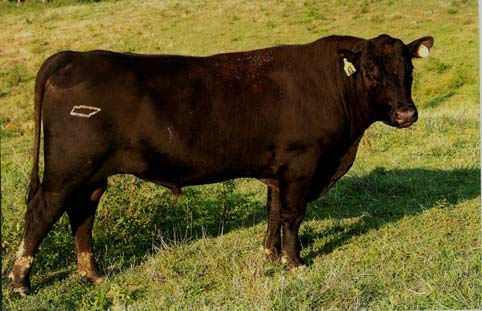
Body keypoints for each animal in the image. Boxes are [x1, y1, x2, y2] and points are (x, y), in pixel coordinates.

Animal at [10, 34, 434, 294]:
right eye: (372, 72)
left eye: (409, 70)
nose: (406, 114)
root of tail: (75, 56)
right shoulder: (302, 164)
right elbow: (293, 215)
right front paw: (294, 262)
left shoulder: (278, 171)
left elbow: (273, 211)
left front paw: (269, 255)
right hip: (67, 170)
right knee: (42, 211)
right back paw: (21, 282)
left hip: (92, 174)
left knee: (82, 213)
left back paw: (94, 274)